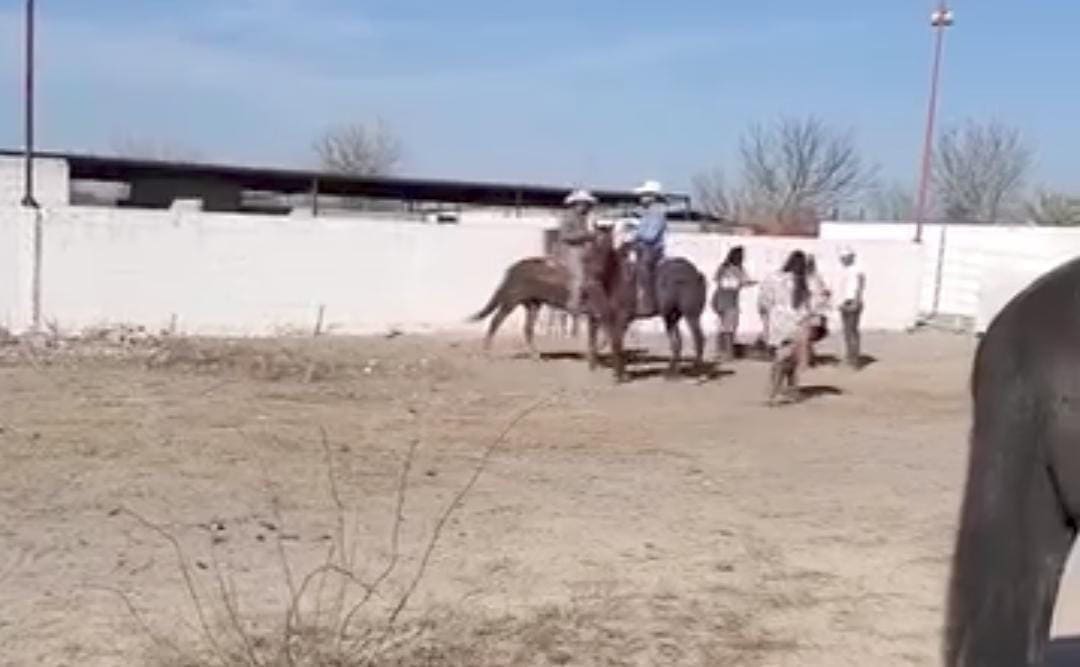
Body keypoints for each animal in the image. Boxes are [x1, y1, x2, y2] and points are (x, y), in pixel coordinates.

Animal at [583, 228, 708, 382]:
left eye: (603, 249)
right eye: (589, 251)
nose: (590, 278)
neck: (617, 278)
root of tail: (697, 273)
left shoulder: (623, 318)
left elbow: (617, 343)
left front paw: (620, 375)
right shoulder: (613, 318)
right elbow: (616, 342)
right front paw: (620, 373)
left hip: (691, 315)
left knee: (699, 339)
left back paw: (699, 375)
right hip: (671, 316)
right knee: (677, 343)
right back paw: (670, 374)